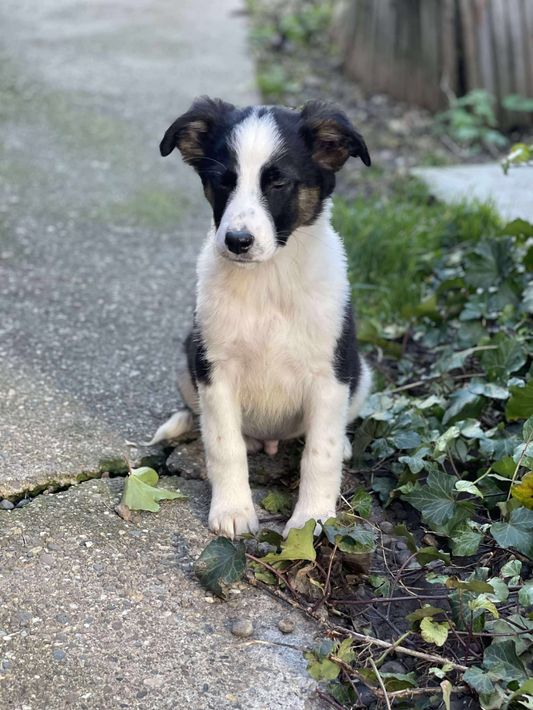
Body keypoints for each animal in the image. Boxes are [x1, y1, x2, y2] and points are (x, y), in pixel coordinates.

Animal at [152, 97, 372, 539]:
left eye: (278, 183)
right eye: (223, 180)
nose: (237, 241)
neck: (269, 281)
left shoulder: (330, 373)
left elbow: (319, 453)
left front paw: (312, 518)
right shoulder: (215, 368)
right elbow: (225, 444)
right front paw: (233, 509)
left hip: (361, 373)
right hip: (187, 361)